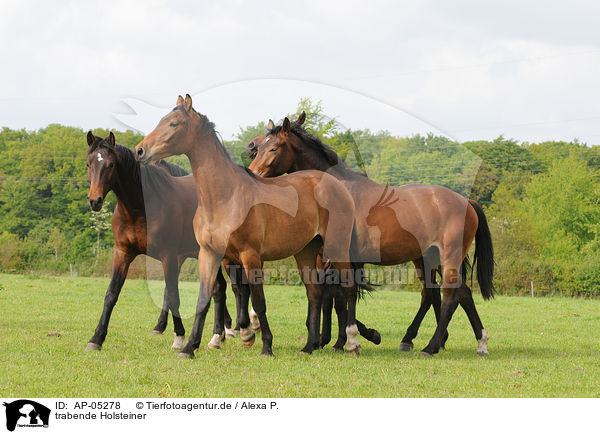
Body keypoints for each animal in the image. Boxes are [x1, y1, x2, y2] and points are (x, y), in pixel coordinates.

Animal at [84, 133, 237, 352]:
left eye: (111, 164)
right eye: (88, 164)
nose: (94, 200)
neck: (139, 209)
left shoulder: (169, 256)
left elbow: (172, 294)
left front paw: (179, 337)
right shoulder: (122, 253)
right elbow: (111, 294)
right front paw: (96, 338)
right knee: (218, 289)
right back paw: (218, 336)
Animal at [135, 96, 360, 358]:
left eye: (173, 123)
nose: (140, 150)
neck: (225, 197)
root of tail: (336, 185)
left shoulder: (250, 256)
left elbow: (259, 301)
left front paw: (265, 345)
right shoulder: (210, 254)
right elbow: (205, 300)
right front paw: (190, 347)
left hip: (337, 248)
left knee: (348, 288)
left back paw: (352, 342)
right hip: (306, 251)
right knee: (314, 293)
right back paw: (308, 346)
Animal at [246, 113, 494, 358]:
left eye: (273, 148)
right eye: (260, 148)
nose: (252, 173)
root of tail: (466, 202)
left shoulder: (338, 257)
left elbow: (340, 297)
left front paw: (348, 338)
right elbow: (333, 297)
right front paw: (333, 339)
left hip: (447, 257)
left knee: (451, 295)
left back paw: (431, 346)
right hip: (428, 259)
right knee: (453, 293)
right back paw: (473, 342)